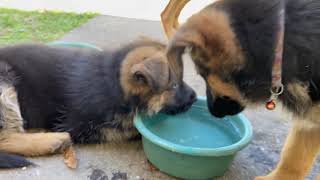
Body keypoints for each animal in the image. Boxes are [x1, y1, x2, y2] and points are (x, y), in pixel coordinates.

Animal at [0, 38, 196, 169]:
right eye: (175, 85)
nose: (194, 97)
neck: (114, 82)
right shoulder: (82, 125)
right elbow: (126, 128)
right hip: (5, 84)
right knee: (5, 137)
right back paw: (53, 141)